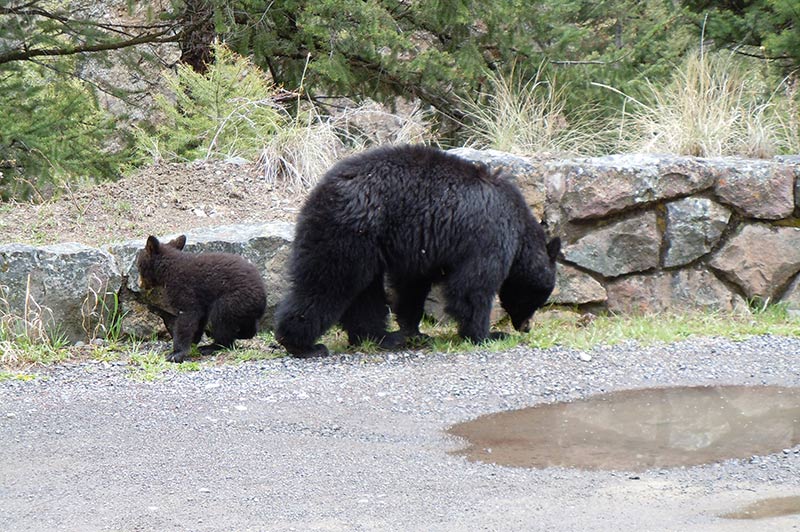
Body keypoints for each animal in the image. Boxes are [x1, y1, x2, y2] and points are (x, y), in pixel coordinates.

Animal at [134, 234, 266, 362]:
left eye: (138, 266)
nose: (139, 284)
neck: (169, 268)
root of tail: (263, 300)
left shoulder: (183, 288)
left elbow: (187, 317)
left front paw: (176, 353)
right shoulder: (201, 301)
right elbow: (200, 317)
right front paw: (193, 340)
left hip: (235, 299)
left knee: (220, 317)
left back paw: (212, 346)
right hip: (245, 308)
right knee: (247, 327)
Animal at [278, 144, 560, 358]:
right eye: (539, 297)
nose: (526, 327)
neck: (520, 230)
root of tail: (320, 191)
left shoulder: (423, 246)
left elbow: (412, 285)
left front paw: (414, 330)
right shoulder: (487, 236)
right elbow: (472, 287)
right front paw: (488, 334)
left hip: (368, 243)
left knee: (364, 292)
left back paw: (380, 337)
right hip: (351, 233)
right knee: (327, 283)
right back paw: (303, 344)